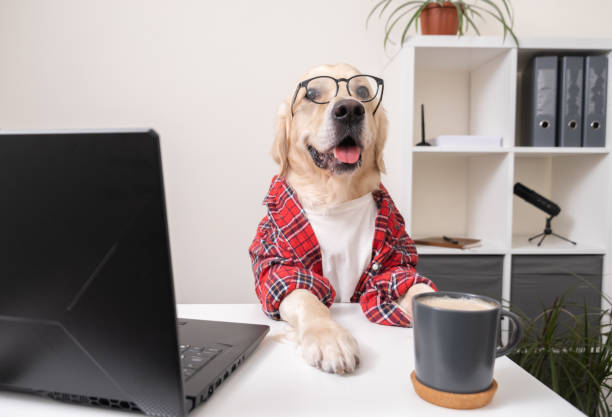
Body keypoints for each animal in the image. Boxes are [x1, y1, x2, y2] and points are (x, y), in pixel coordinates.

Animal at [249, 64, 436, 374]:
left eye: (362, 91)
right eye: (311, 94)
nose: (349, 110)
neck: (336, 198)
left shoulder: (391, 262)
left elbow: (414, 285)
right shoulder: (277, 264)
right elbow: (306, 296)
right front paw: (329, 339)